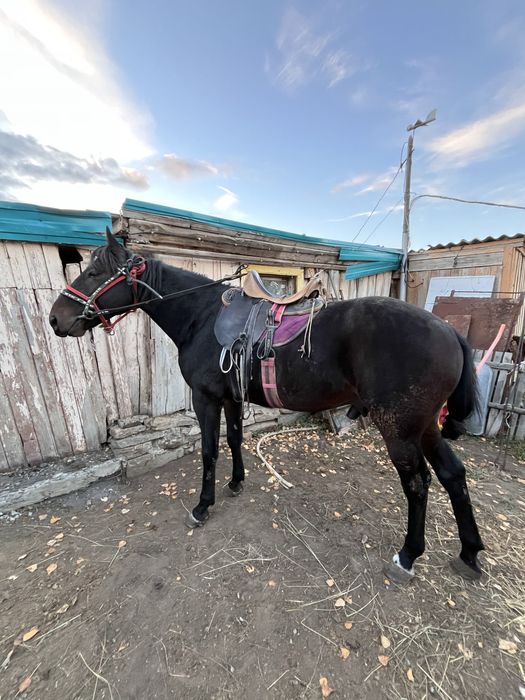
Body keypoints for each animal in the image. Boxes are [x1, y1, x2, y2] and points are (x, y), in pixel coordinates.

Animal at [49, 230, 484, 584]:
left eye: (94, 273)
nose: (55, 319)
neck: (201, 316)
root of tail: (449, 331)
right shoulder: (231, 397)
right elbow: (234, 440)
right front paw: (236, 483)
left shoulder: (205, 398)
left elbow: (209, 451)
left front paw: (202, 505)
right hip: (424, 426)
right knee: (453, 474)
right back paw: (469, 553)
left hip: (400, 429)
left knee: (418, 484)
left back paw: (408, 556)